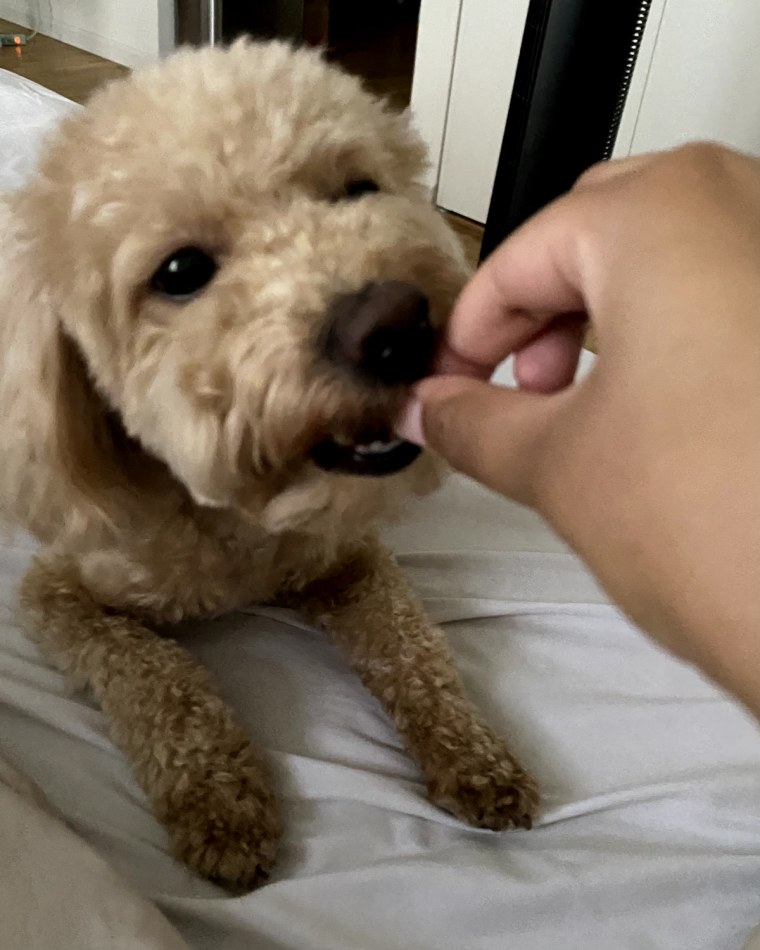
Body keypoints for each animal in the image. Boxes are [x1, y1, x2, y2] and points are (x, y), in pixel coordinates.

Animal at [0, 39, 536, 892]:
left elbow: (413, 648)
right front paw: (220, 796)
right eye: (180, 272)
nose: (394, 325)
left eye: (357, 189)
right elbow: (153, 673)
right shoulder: (60, 594)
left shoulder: (349, 561)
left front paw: (474, 754)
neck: (241, 526)